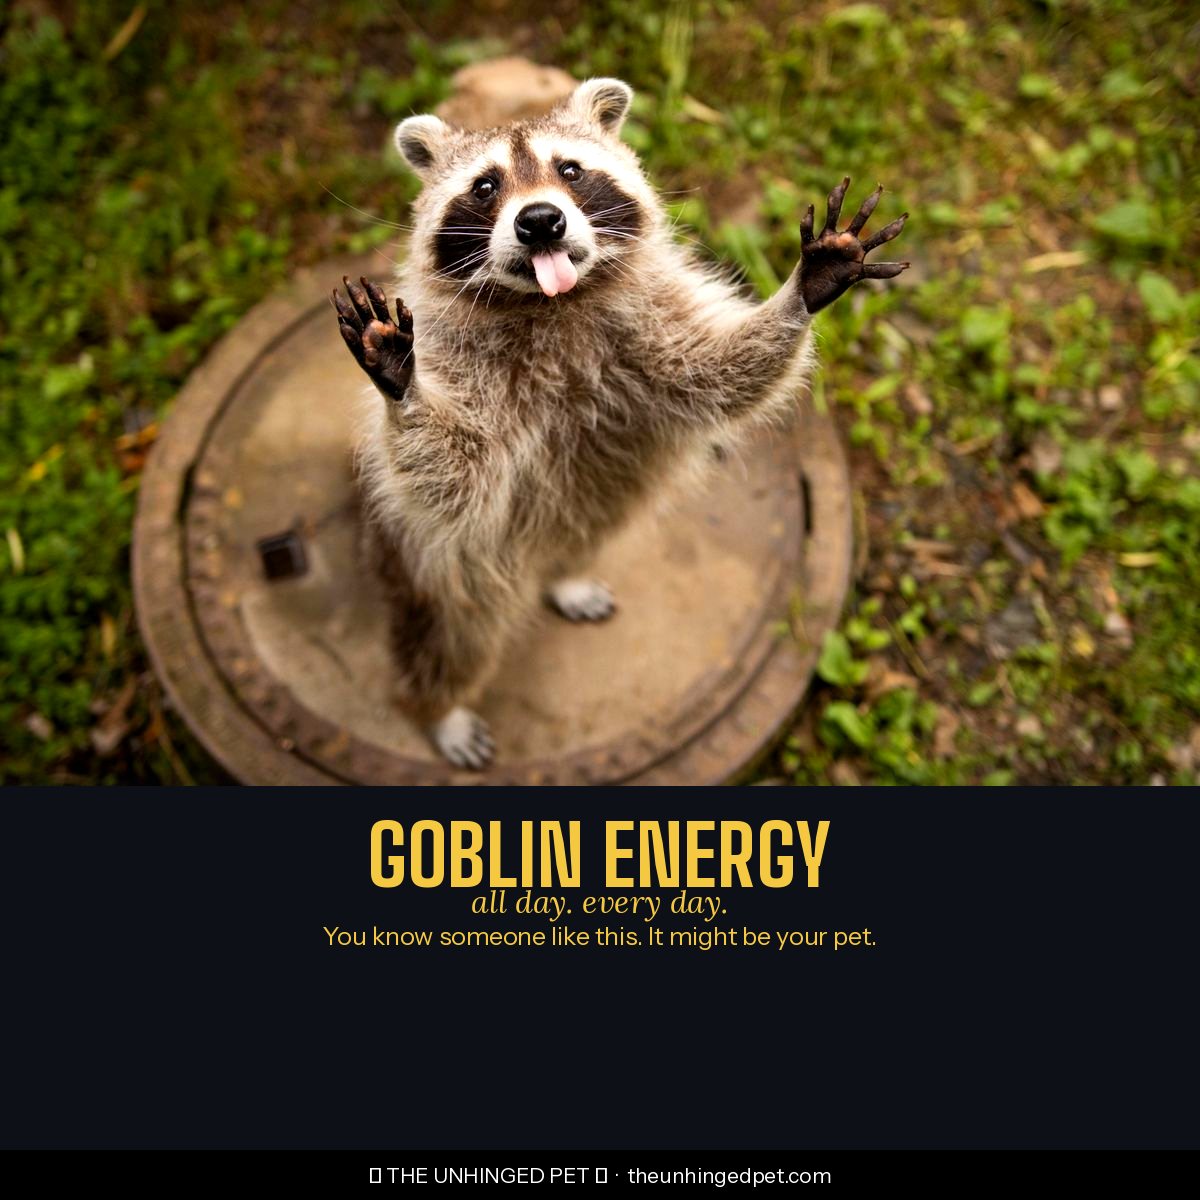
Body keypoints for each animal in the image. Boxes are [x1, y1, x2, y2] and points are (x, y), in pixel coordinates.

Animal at [332, 78, 910, 769]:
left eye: (570, 170)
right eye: (485, 186)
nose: (540, 220)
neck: (553, 303)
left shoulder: (656, 326)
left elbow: (722, 373)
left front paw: (806, 285)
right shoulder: (460, 367)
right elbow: (452, 477)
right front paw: (404, 386)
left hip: (596, 503)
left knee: (587, 528)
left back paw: (566, 573)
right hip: (438, 570)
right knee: (451, 637)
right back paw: (440, 708)